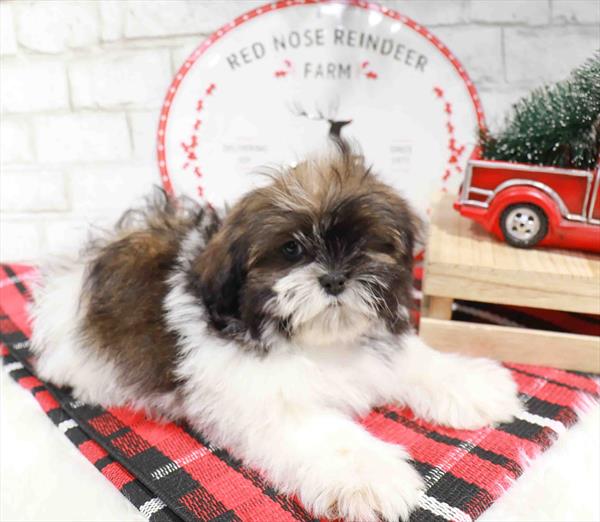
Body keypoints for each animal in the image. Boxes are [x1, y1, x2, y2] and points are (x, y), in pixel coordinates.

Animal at [30, 142, 524, 520]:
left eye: (363, 243)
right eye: (291, 250)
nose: (334, 278)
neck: (317, 343)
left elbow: (414, 359)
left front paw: (471, 383)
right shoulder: (265, 400)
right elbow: (324, 434)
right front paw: (369, 475)